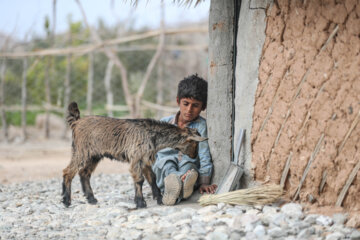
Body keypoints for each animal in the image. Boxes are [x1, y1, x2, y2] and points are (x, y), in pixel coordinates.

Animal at [62, 101, 208, 208]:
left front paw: (159, 198)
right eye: (196, 143)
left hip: (94, 155)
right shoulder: (136, 158)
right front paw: (140, 202)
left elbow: (152, 178)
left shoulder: (145, 159)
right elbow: (139, 179)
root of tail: (77, 122)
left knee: (84, 173)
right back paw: (66, 200)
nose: (195, 156)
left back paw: (91, 198)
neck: (152, 135)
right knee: (68, 171)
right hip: (81, 151)